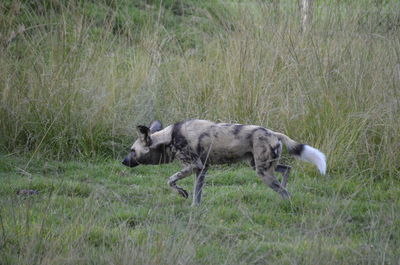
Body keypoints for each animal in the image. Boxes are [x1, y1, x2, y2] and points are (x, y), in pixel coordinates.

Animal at [123, 119, 326, 204]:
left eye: (132, 151)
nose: (123, 162)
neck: (169, 138)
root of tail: (273, 133)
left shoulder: (194, 166)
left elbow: (171, 180)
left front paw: (182, 193)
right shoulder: (202, 169)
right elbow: (197, 194)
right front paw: (195, 208)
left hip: (262, 172)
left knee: (286, 192)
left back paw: (287, 204)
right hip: (259, 165)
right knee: (287, 169)